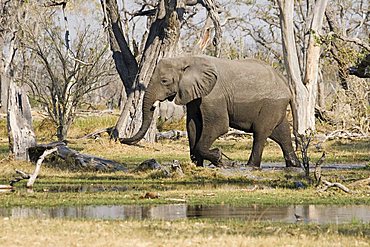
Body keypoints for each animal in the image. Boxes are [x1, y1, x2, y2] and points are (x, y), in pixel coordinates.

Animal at [121, 55, 300, 168]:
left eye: (164, 81)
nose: (121, 139)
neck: (186, 59)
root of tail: (287, 85)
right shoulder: (194, 95)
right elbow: (193, 126)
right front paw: (198, 165)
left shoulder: (213, 95)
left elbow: (218, 126)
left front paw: (222, 160)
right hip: (276, 106)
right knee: (282, 134)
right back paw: (294, 165)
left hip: (271, 104)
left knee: (260, 133)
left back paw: (251, 166)